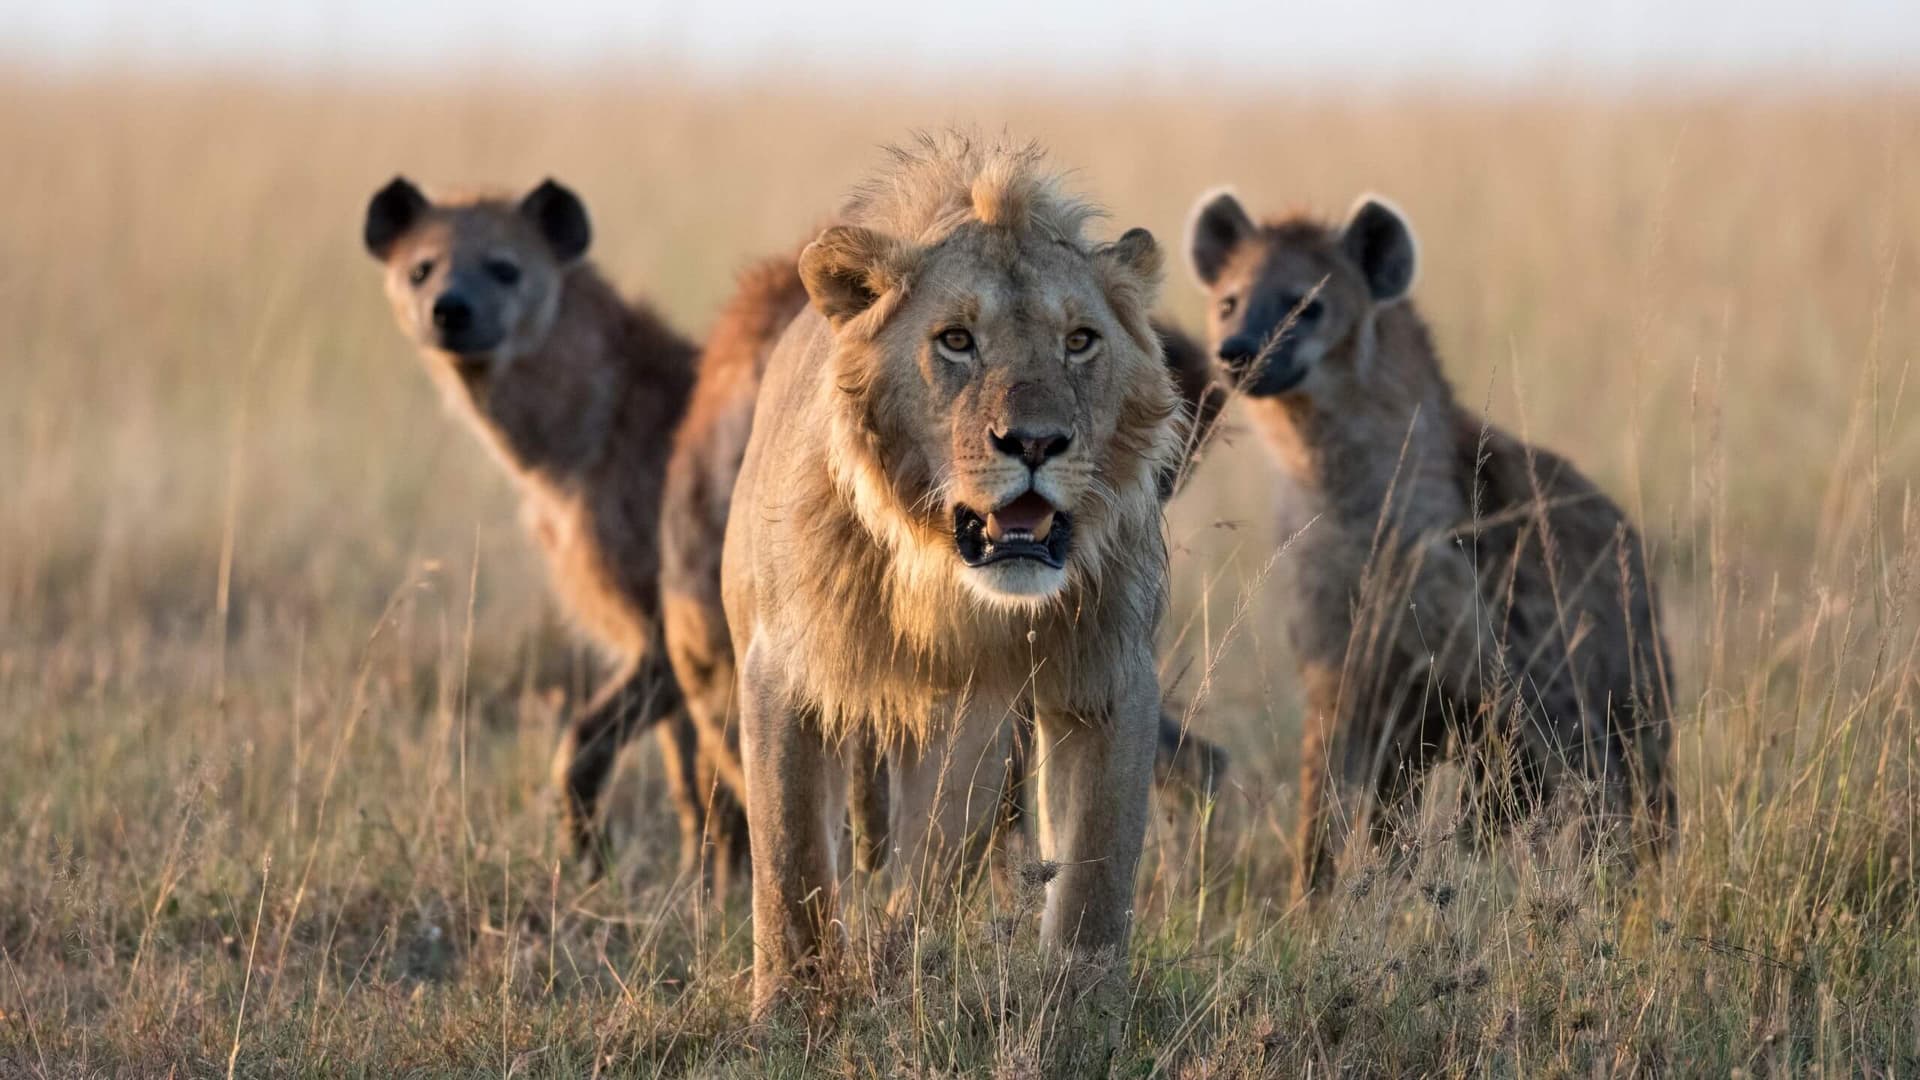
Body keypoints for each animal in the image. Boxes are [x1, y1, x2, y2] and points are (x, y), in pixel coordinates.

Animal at [721, 134, 1182, 1014]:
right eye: (957, 341)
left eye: (1080, 340)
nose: (1035, 442)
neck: (948, 586)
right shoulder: (781, 670)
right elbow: (789, 864)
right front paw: (789, 1008)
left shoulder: (1106, 676)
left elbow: (1095, 876)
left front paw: (1083, 1011)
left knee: (930, 872)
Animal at [1184, 188, 1676, 900]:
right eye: (1228, 300)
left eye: (1307, 304)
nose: (1237, 350)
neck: (1358, 512)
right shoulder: (1344, 672)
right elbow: (1327, 809)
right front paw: (1312, 905)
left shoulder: (1514, 682)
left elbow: (1559, 803)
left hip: (1628, 692)